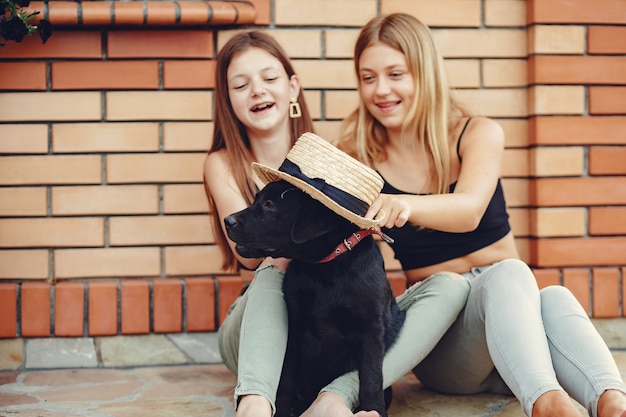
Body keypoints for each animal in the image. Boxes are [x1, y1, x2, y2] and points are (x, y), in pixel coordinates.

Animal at [224, 179, 404, 416]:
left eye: (270, 205)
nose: (227, 220)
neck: (324, 269)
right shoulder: (294, 327)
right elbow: (285, 380)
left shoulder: (371, 329)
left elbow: (371, 378)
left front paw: (373, 410)